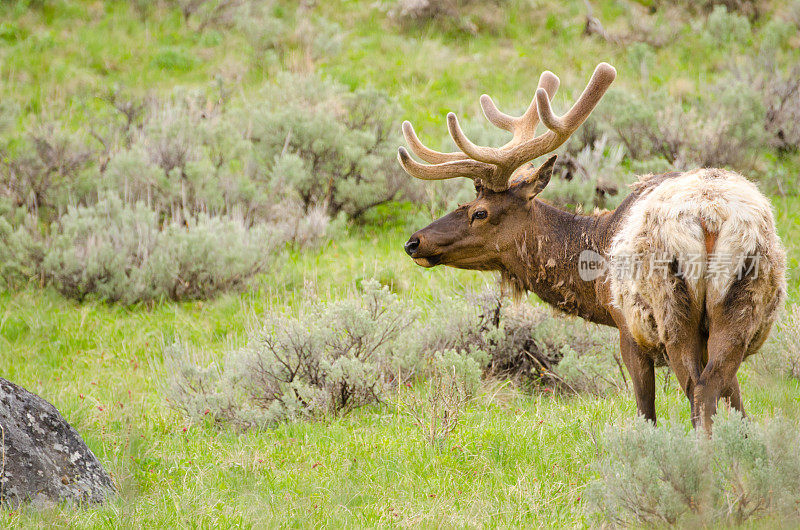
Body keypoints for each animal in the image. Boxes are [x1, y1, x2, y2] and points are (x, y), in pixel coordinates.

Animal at [396, 64, 784, 432]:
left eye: (480, 212)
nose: (414, 242)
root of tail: (710, 217)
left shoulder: (628, 329)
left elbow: (647, 411)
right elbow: (738, 404)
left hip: (671, 309)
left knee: (698, 391)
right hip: (740, 306)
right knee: (718, 387)